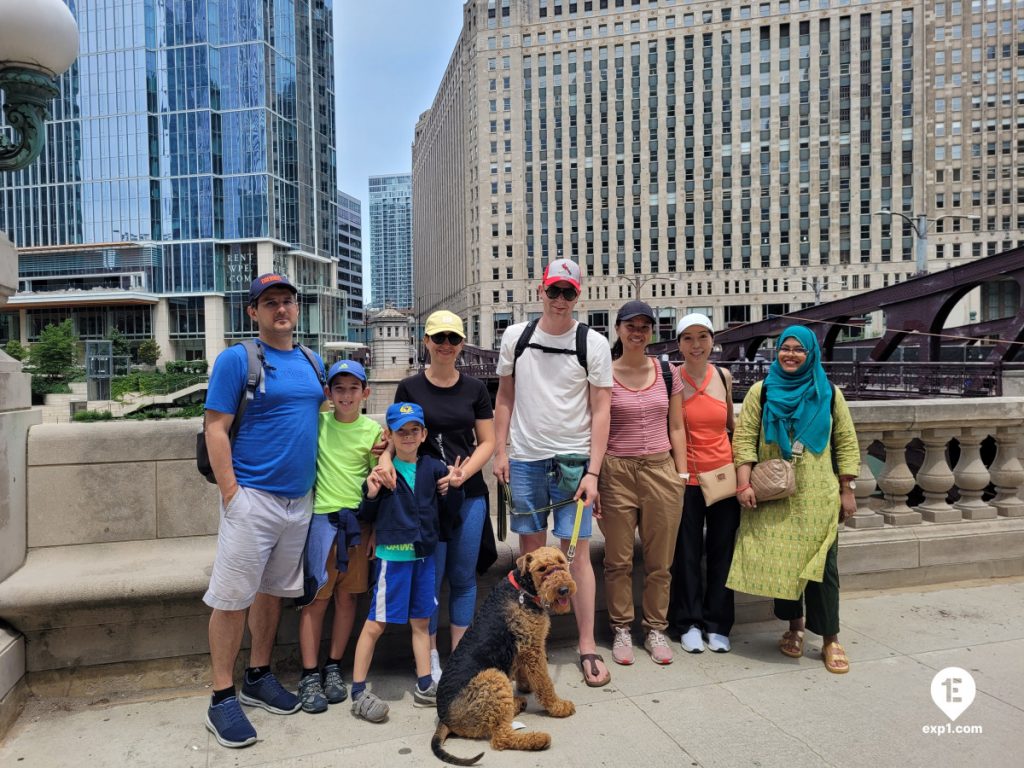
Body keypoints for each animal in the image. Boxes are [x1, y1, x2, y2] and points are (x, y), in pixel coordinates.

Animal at [430, 548, 577, 765]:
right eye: (541, 569)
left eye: (561, 561)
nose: (564, 589)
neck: (522, 590)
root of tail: (444, 717)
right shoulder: (533, 648)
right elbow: (544, 683)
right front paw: (558, 707)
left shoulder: (525, 648)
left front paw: (526, 686)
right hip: (494, 677)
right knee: (501, 737)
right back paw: (539, 739)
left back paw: (518, 703)